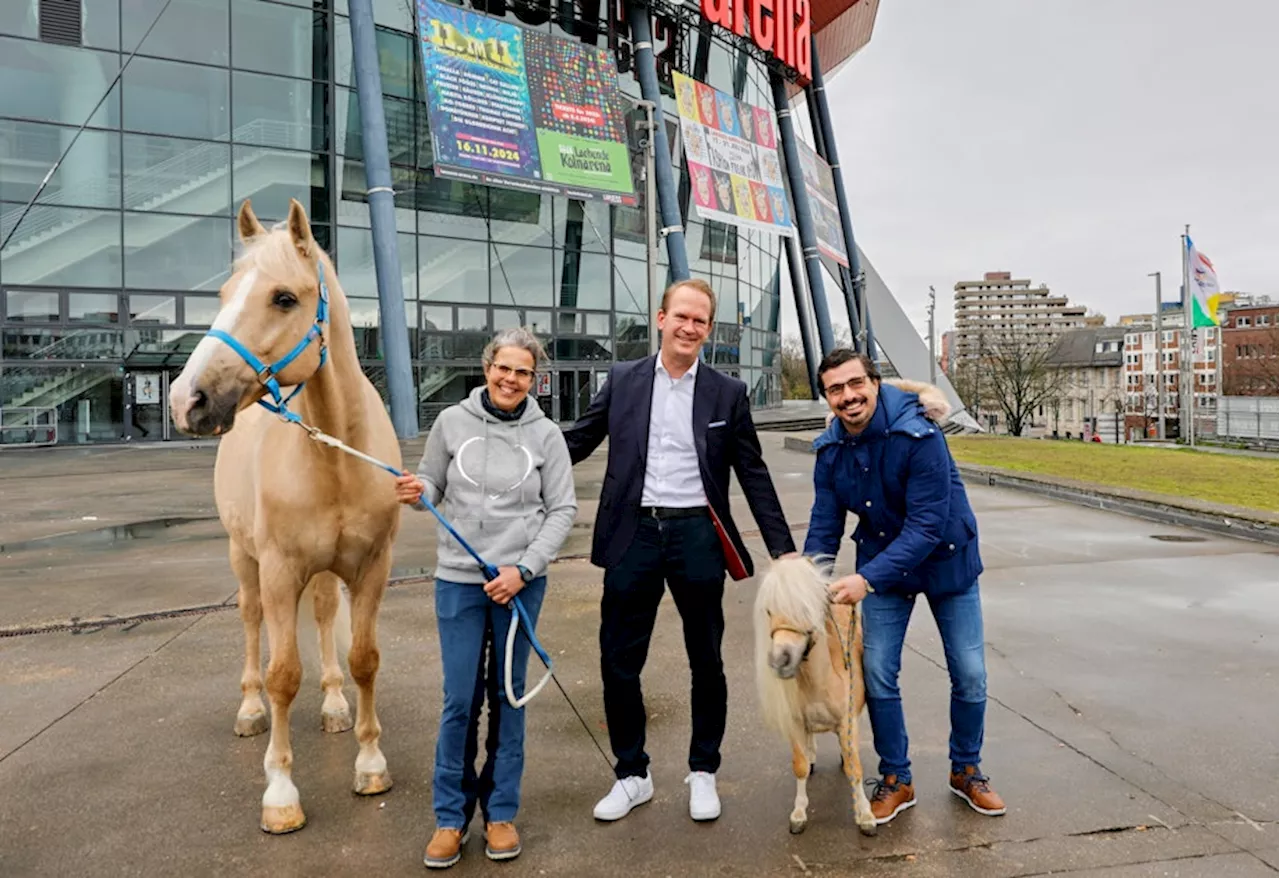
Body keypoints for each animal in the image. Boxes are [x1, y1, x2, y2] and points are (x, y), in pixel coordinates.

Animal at [170, 200, 399, 839]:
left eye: (283, 298)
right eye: (223, 293)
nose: (186, 400)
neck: (337, 452)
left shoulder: (371, 568)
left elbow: (364, 659)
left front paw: (370, 762)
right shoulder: (276, 571)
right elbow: (282, 675)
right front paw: (279, 793)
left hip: (319, 572)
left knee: (321, 616)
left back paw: (334, 704)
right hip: (244, 559)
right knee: (252, 626)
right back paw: (249, 710)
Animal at [747, 558, 880, 839]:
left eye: (805, 608)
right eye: (769, 611)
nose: (780, 661)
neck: (820, 681)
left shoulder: (846, 722)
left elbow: (854, 767)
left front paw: (865, 815)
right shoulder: (796, 723)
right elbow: (799, 766)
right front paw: (798, 814)